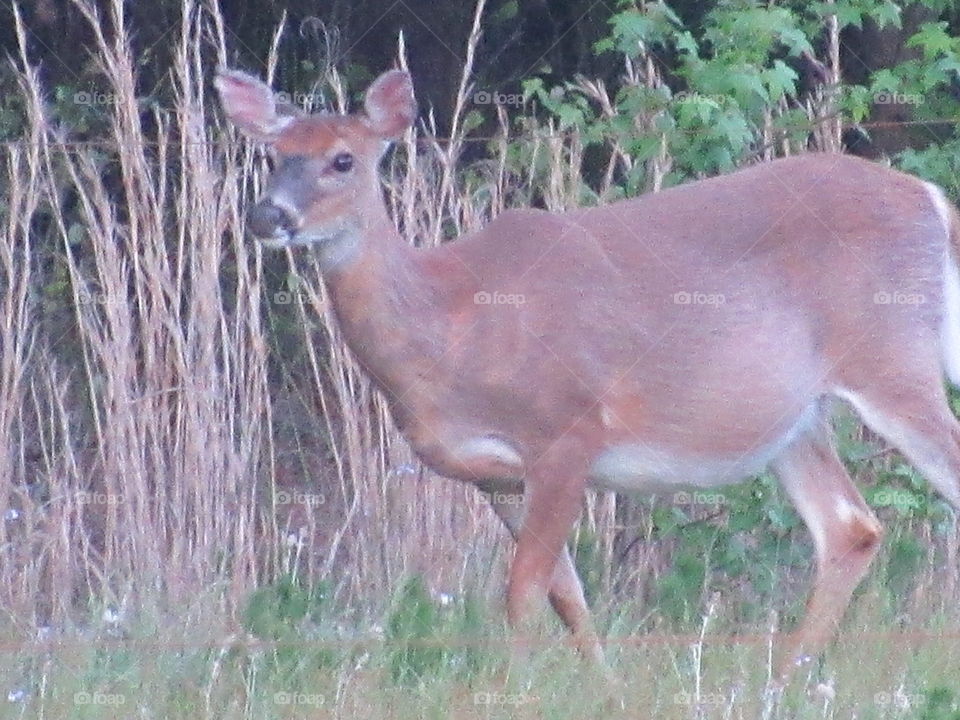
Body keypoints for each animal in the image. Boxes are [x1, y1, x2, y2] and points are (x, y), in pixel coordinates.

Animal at [216, 67, 960, 681]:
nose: (266, 215)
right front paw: (601, 686)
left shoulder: (565, 429)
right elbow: (563, 592)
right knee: (851, 527)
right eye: (272, 156)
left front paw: (510, 690)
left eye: (342, 160)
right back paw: (786, 680)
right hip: (790, 418)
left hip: (891, 360)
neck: (451, 326)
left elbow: (521, 589)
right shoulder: (496, 476)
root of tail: (934, 201)